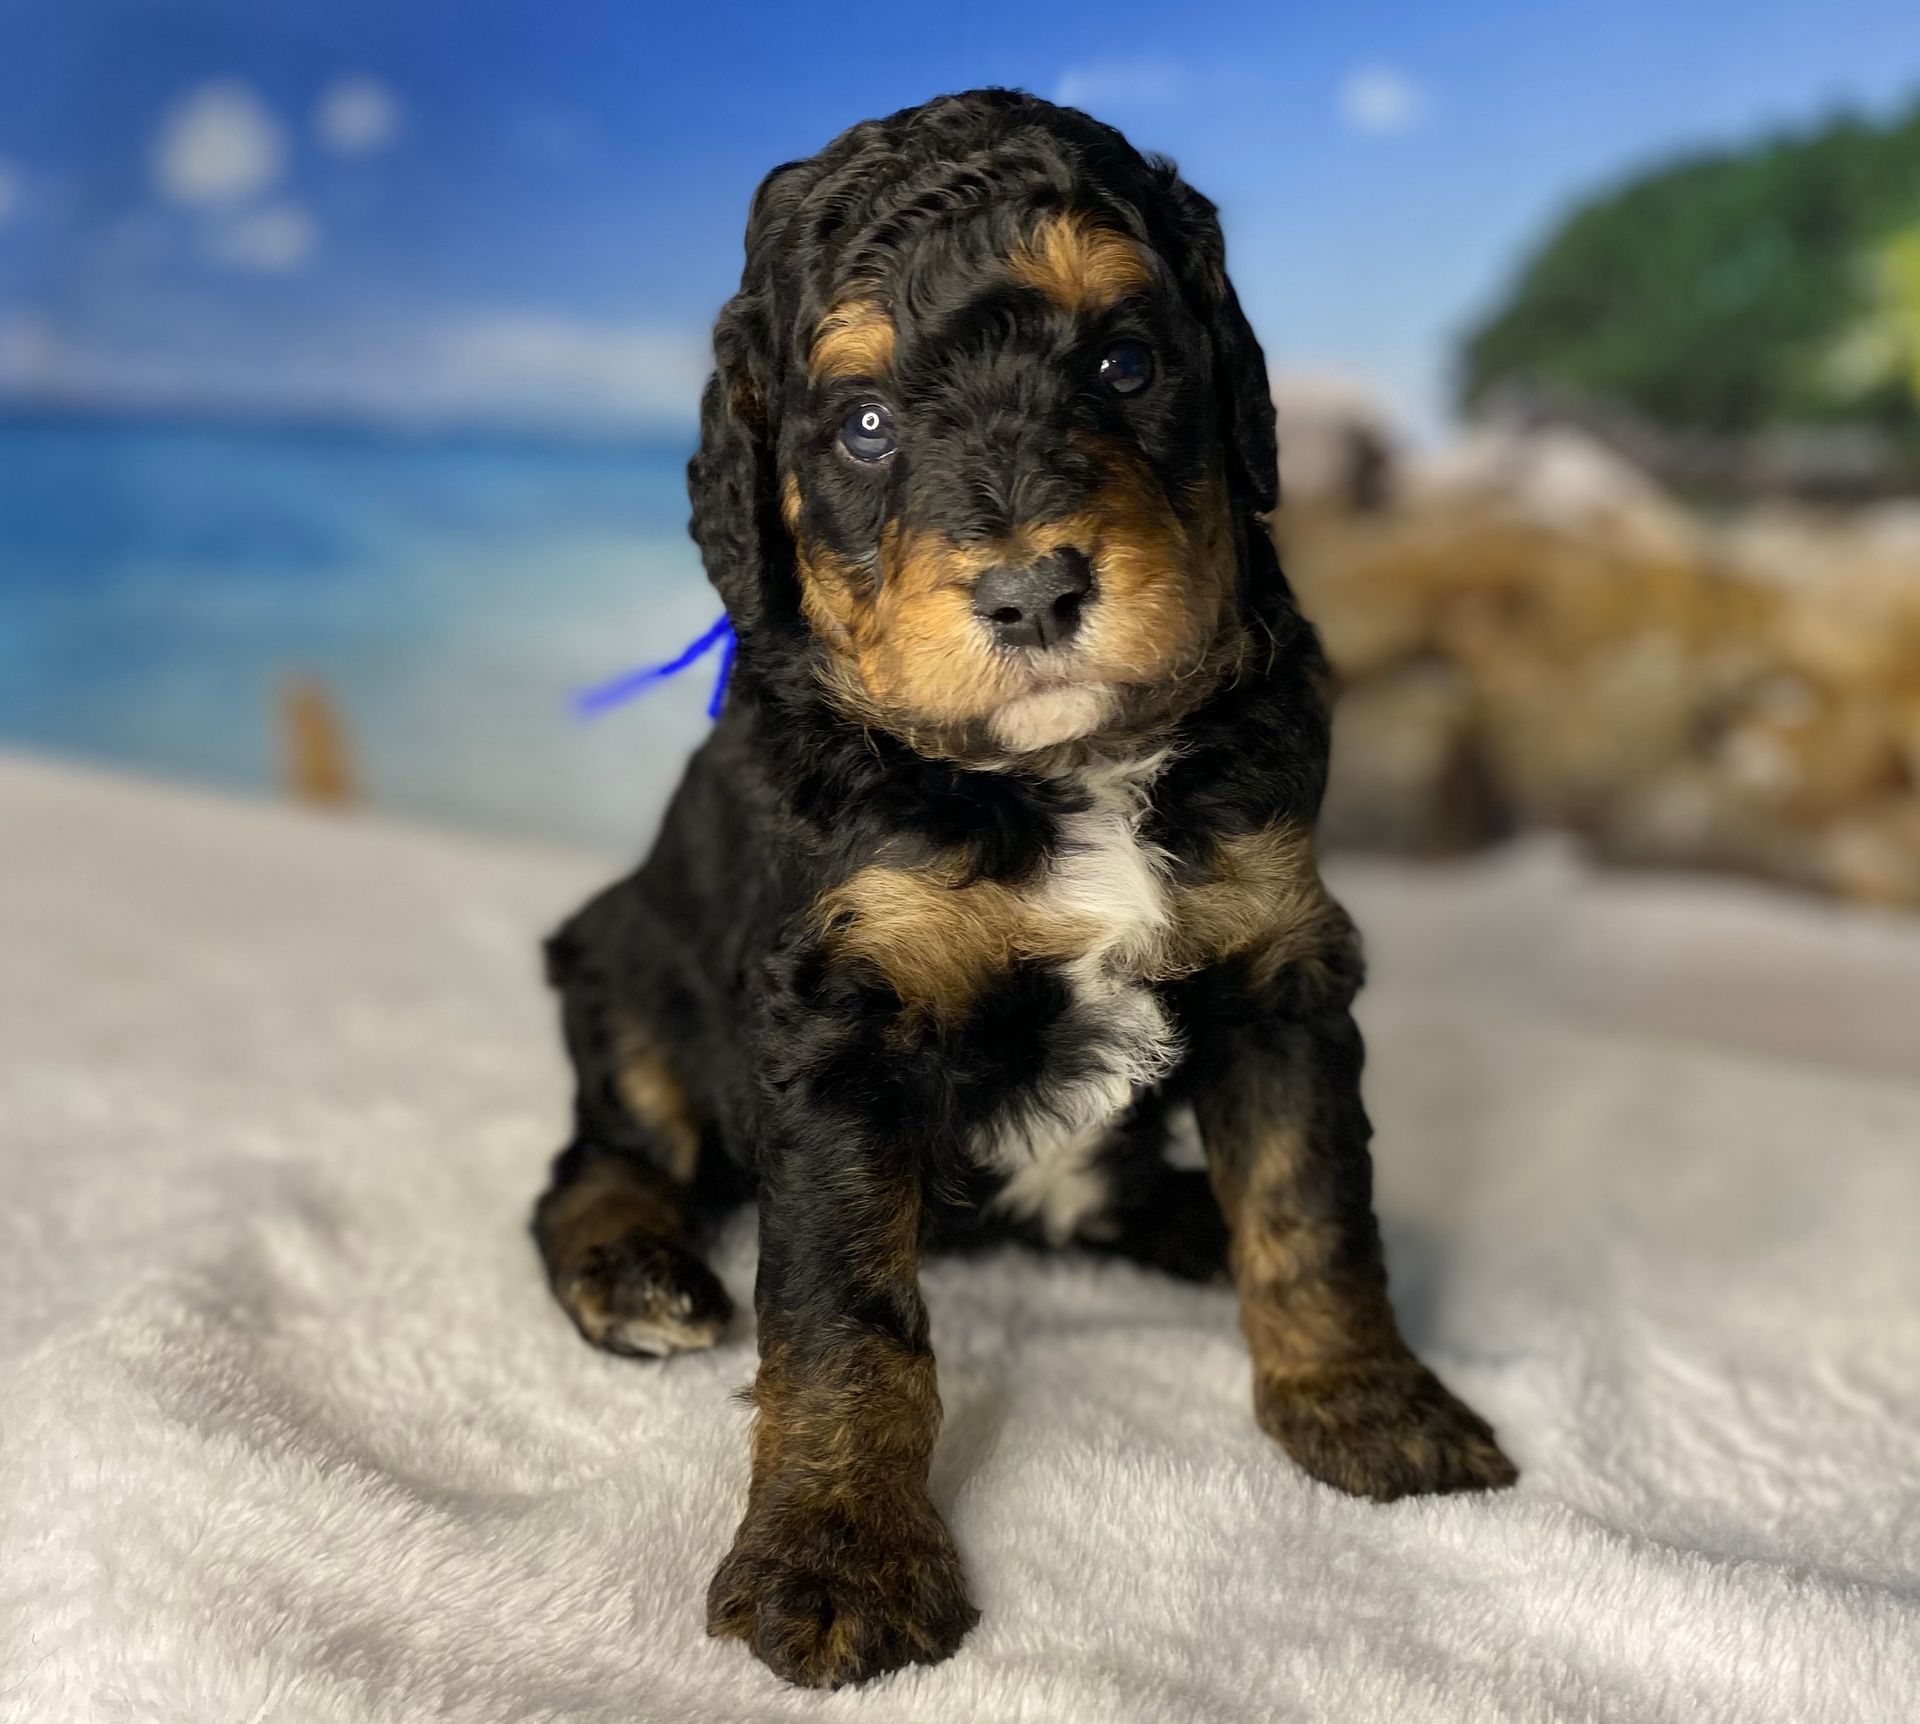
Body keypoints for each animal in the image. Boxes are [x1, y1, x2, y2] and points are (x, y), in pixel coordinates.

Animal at [529, 87, 1512, 1689]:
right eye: (865, 424)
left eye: (1123, 360)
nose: (1034, 592)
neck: (1059, 770)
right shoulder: (837, 1017)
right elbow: (845, 1313)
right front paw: (838, 1552)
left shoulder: (1280, 961)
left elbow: (1310, 1195)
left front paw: (1365, 1400)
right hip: (619, 963)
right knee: (599, 1158)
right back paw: (635, 1273)